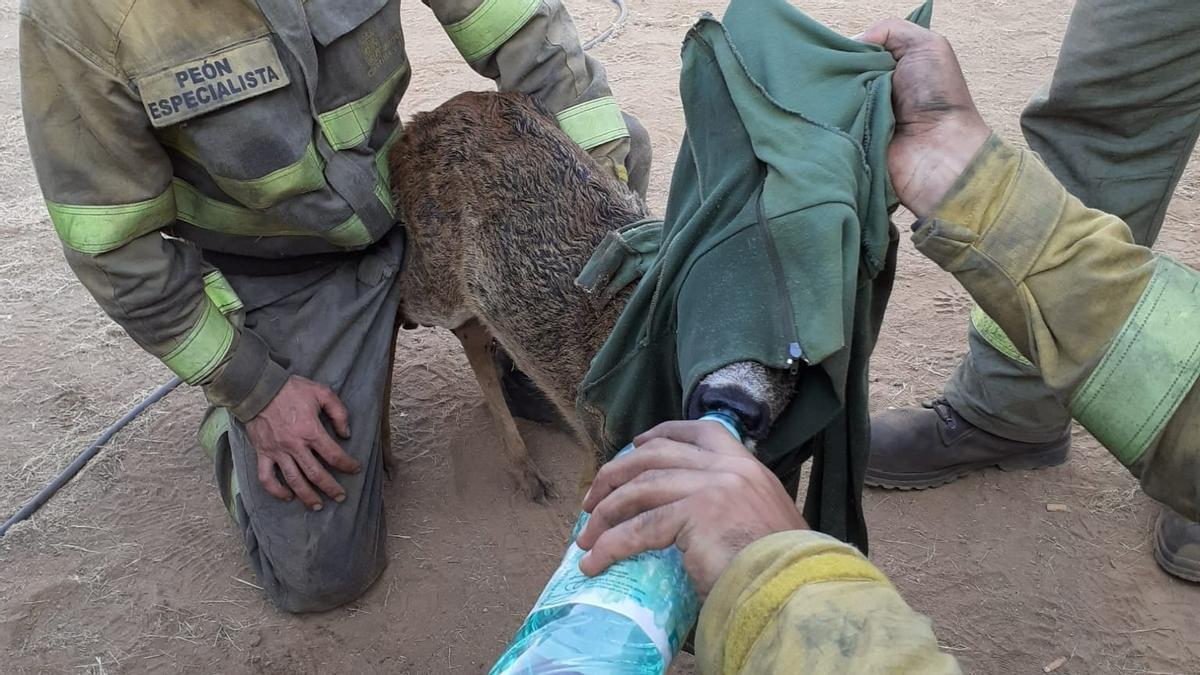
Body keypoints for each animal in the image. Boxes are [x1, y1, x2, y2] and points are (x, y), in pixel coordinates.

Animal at [388, 91, 792, 497]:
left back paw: (525, 469)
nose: (739, 401)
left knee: (472, 331)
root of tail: (422, 122)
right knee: (403, 300)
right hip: (433, 276)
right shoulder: (604, 437)